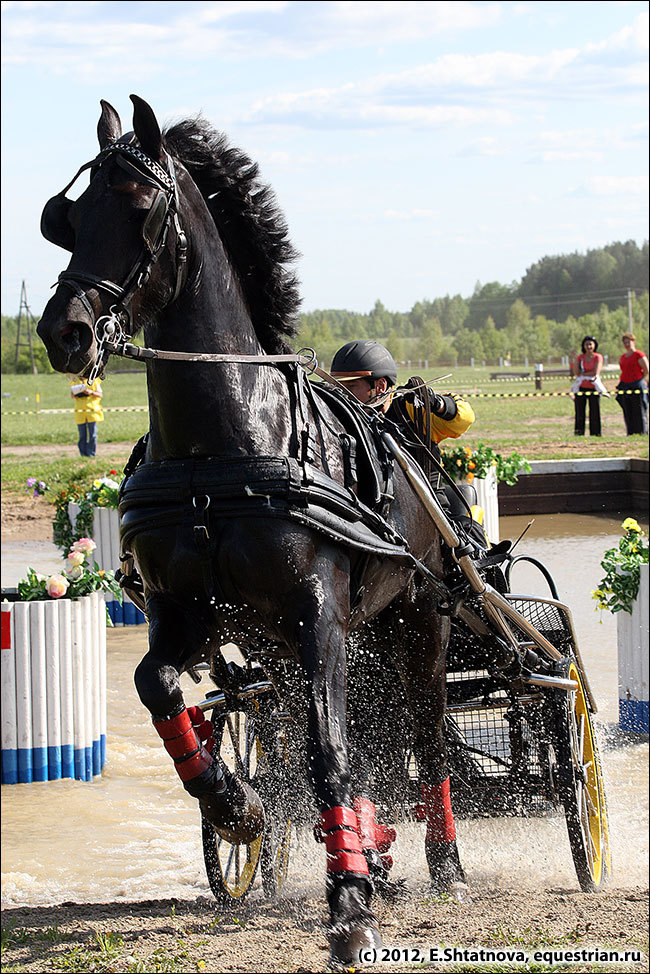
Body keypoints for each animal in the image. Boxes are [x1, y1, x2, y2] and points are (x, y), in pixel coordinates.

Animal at [38, 95, 464, 964]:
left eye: (139, 207)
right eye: (67, 218)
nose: (64, 330)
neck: (223, 450)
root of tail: (407, 438)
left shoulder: (318, 612)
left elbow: (331, 754)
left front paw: (349, 910)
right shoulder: (190, 614)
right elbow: (159, 688)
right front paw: (236, 806)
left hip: (419, 621)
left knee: (425, 732)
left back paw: (441, 864)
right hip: (301, 643)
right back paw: (365, 850)